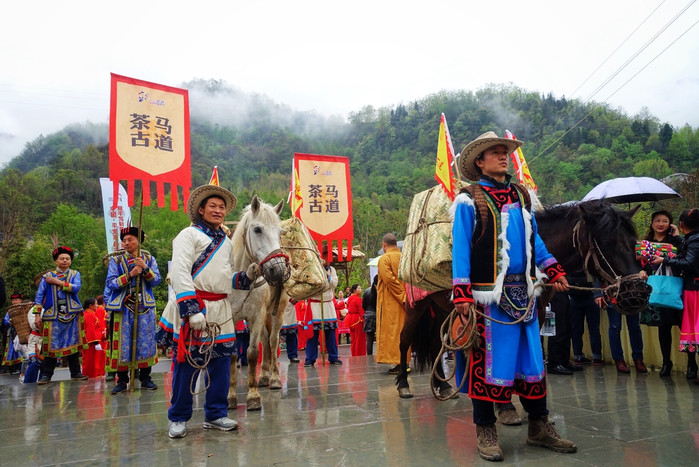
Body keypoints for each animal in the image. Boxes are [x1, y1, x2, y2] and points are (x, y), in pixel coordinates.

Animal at [230, 196, 290, 412]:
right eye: (257, 229)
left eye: (280, 232)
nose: (279, 270)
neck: (241, 281)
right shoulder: (232, 318)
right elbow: (233, 354)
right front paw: (230, 397)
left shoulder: (257, 315)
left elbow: (253, 352)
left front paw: (253, 396)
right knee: (265, 339)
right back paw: (263, 376)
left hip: (276, 313)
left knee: (272, 340)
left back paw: (273, 378)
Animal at [396, 200, 652, 398]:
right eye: (608, 243)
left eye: (634, 243)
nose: (638, 292)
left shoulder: (536, 311)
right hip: (417, 307)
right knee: (405, 339)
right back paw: (403, 385)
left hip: (440, 308)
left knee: (436, 343)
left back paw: (442, 385)